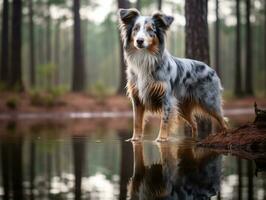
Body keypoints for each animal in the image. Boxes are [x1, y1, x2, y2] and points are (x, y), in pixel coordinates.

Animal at [117, 8, 228, 142]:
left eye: (150, 30)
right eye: (136, 29)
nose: (139, 41)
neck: (145, 58)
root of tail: (211, 69)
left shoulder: (167, 97)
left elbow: (164, 120)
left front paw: (161, 139)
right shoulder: (137, 99)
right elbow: (137, 121)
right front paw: (135, 139)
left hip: (210, 102)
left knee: (223, 120)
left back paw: (226, 134)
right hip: (183, 108)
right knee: (194, 123)